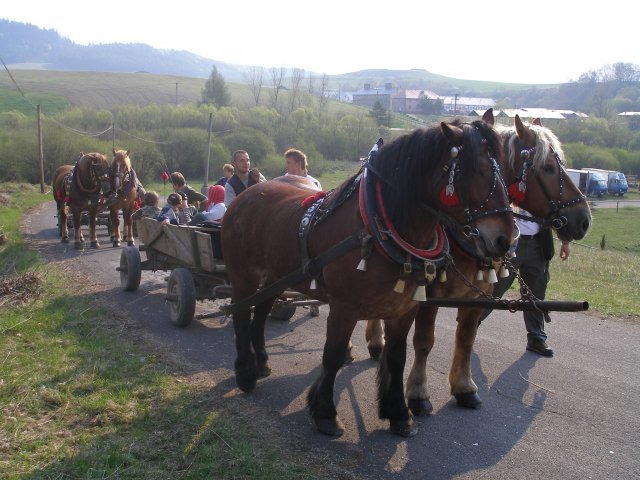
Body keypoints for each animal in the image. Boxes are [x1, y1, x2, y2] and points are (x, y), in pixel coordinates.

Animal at [220, 109, 516, 438]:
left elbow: (397, 357)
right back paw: (245, 372)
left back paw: (260, 362)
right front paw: (325, 412)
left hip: (275, 276)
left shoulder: (405, 309)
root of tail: (246, 195)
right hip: (243, 275)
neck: (378, 225)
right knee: (241, 314)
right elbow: (333, 354)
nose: (506, 238)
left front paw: (398, 412)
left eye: (505, 171)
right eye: (478, 169)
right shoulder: (344, 307)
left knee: (260, 312)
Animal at [362, 114, 592, 418]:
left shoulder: (478, 295)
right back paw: (377, 340)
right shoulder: (428, 296)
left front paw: (464, 387)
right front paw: (418, 392)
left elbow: (466, 338)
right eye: (549, 168)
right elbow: (424, 341)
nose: (584, 220)